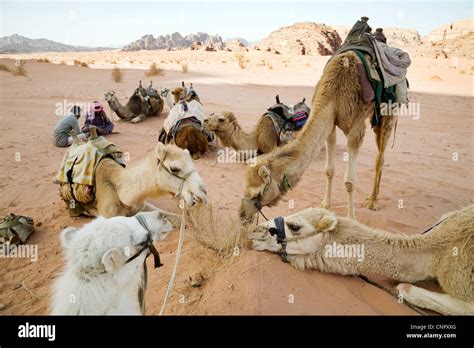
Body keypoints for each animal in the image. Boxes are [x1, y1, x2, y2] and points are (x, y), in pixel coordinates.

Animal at [237, 50, 396, 222]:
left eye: (257, 194)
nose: (242, 214)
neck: (334, 92)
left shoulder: (355, 129)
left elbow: (350, 181)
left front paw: (351, 218)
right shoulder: (330, 124)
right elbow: (329, 170)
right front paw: (325, 205)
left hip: (389, 111)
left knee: (380, 157)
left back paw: (373, 201)